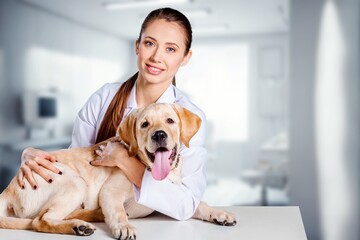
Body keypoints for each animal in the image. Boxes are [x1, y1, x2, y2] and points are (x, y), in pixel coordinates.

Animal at [0, 103, 236, 240]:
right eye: (144, 124)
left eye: (170, 120)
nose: (159, 135)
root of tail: (7, 190)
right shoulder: (110, 192)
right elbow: (118, 211)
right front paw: (124, 227)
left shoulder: (174, 201)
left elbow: (198, 204)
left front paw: (219, 214)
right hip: (74, 181)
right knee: (39, 221)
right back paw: (79, 226)